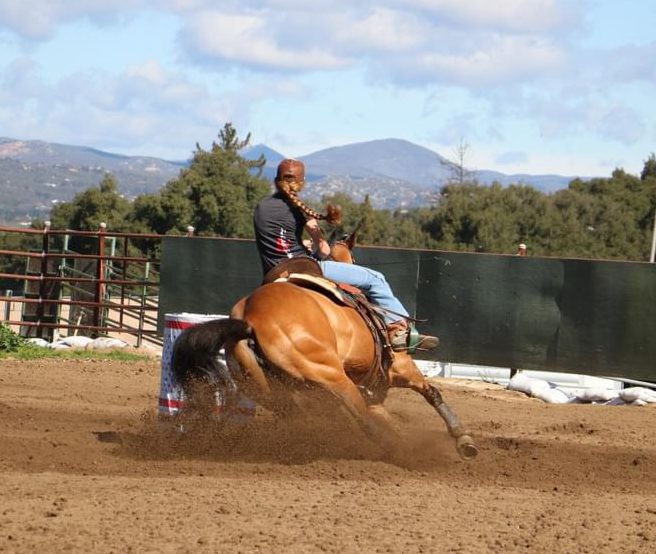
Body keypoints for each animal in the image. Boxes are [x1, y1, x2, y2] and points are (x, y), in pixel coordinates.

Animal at [172, 229, 480, 458]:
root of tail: (248, 318)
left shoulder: (371, 390)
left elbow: (392, 418)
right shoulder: (400, 368)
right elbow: (431, 393)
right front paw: (464, 440)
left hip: (272, 392)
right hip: (332, 378)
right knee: (364, 424)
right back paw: (400, 455)